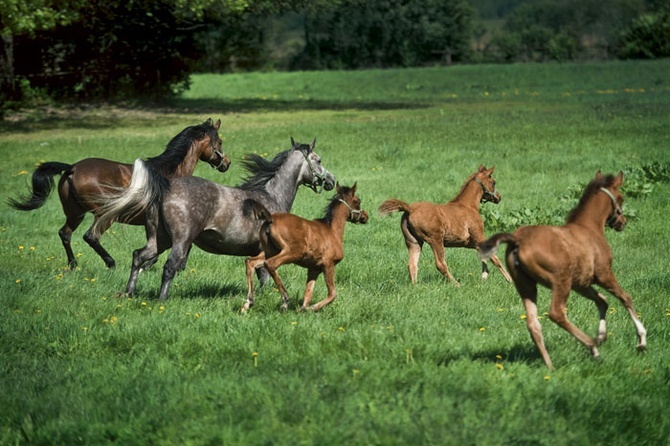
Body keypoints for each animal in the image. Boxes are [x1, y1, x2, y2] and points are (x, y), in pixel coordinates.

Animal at [7, 118, 231, 268]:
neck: (169, 172)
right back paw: (111, 263)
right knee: (91, 236)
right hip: (105, 214)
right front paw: (152, 264)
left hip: (75, 213)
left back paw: (73, 265)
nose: (226, 164)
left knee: (65, 234)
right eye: (220, 142)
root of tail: (72, 168)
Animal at [90, 138, 336, 302]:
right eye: (319, 160)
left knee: (138, 257)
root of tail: (166, 188)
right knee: (169, 266)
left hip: (158, 240)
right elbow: (265, 275)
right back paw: (162, 300)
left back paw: (129, 293)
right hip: (180, 241)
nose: (331, 181)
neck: (271, 197)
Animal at [378, 165, 516, 286]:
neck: (468, 206)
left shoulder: (470, 242)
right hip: (435, 240)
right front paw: (510, 280)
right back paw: (457, 285)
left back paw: (415, 286)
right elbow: (495, 258)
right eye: (493, 182)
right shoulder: (478, 235)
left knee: (412, 264)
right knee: (440, 264)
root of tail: (410, 209)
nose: (498, 197)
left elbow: (485, 256)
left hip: (414, 242)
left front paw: (484, 276)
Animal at [480, 171, 648, 370]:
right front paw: (641, 341)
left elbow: (603, 301)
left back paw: (551, 366)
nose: (622, 222)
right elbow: (625, 297)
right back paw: (592, 348)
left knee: (533, 323)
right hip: (561, 282)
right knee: (556, 313)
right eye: (621, 198)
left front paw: (602, 337)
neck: (589, 228)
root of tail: (517, 240)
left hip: (526, 285)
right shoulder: (604, 274)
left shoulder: (581, 284)